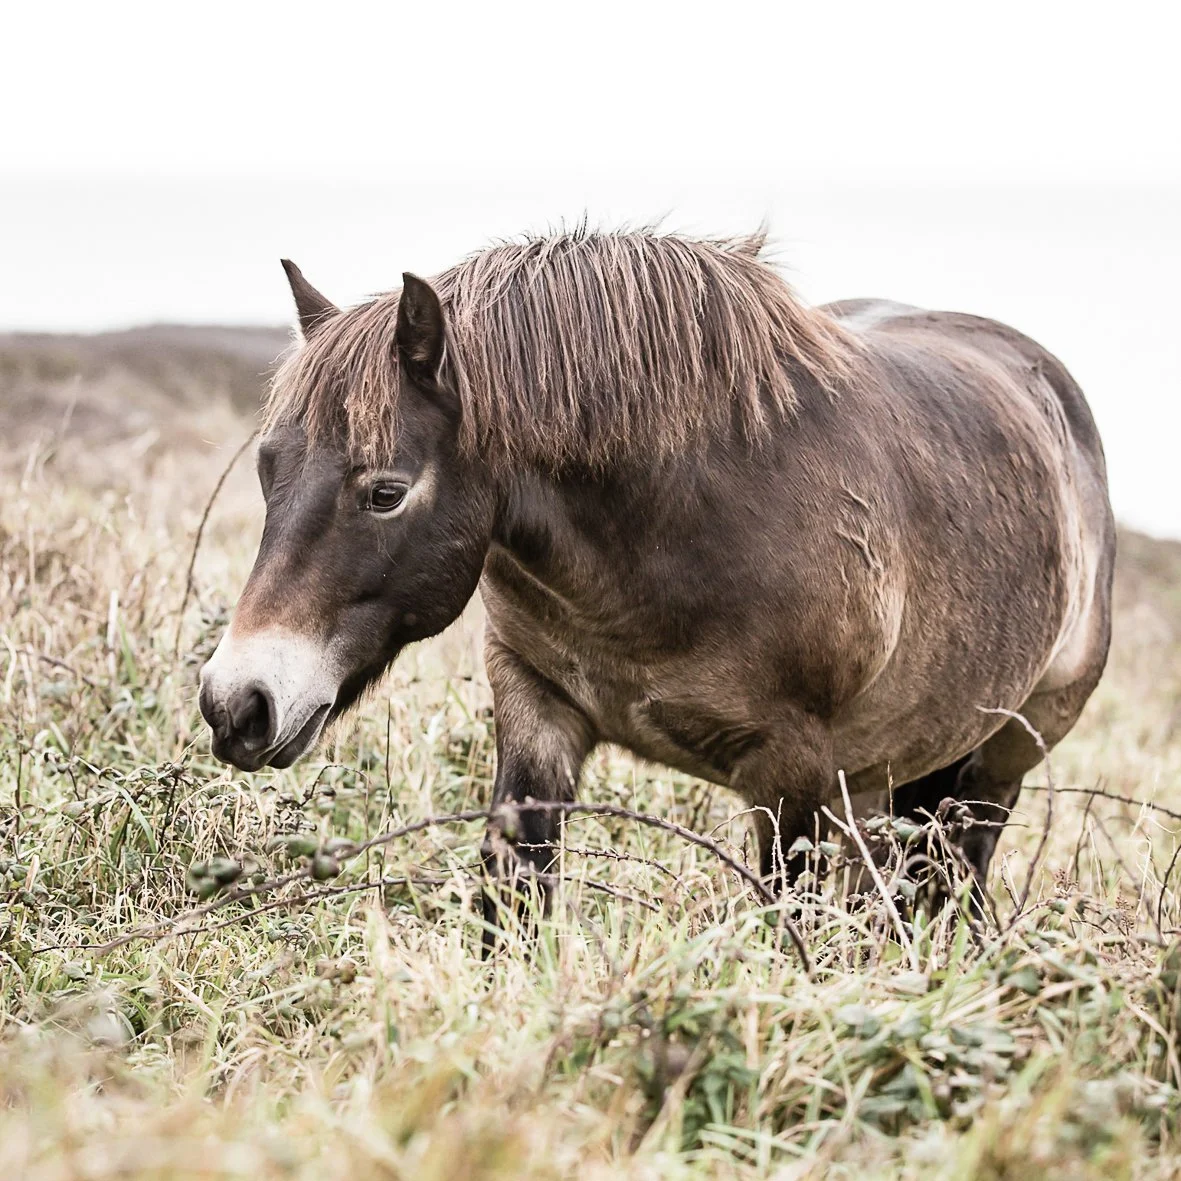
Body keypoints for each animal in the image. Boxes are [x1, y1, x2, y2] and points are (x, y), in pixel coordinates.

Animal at [198, 229, 1114, 915]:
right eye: (268, 467)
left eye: (385, 492)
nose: (236, 704)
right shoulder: (534, 704)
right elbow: (513, 904)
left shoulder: (793, 775)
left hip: (993, 768)